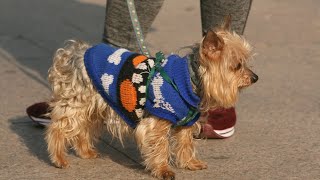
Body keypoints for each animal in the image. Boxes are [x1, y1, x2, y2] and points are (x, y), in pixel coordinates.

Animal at [45, 17, 258, 179]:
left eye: (246, 63)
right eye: (237, 66)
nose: (255, 78)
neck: (189, 79)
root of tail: (75, 52)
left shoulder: (186, 121)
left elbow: (185, 143)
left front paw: (190, 163)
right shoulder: (157, 121)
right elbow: (159, 146)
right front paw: (163, 170)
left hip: (97, 105)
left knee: (83, 127)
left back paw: (85, 152)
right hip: (78, 101)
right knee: (59, 127)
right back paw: (59, 158)